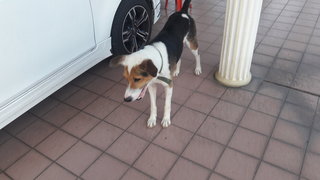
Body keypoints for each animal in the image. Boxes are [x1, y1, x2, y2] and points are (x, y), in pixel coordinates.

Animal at [109, 0, 201, 128]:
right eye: (126, 79)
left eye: (137, 79)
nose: (126, 99)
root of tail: (182, 12)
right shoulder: (151, 86)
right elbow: (153, 105)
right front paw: (152, 119)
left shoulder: (169, 86)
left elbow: (167, 105)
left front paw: (166, 119)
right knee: (179, 57)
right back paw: (176, 70)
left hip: (191, 43)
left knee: (197, 55)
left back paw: (198, 69)